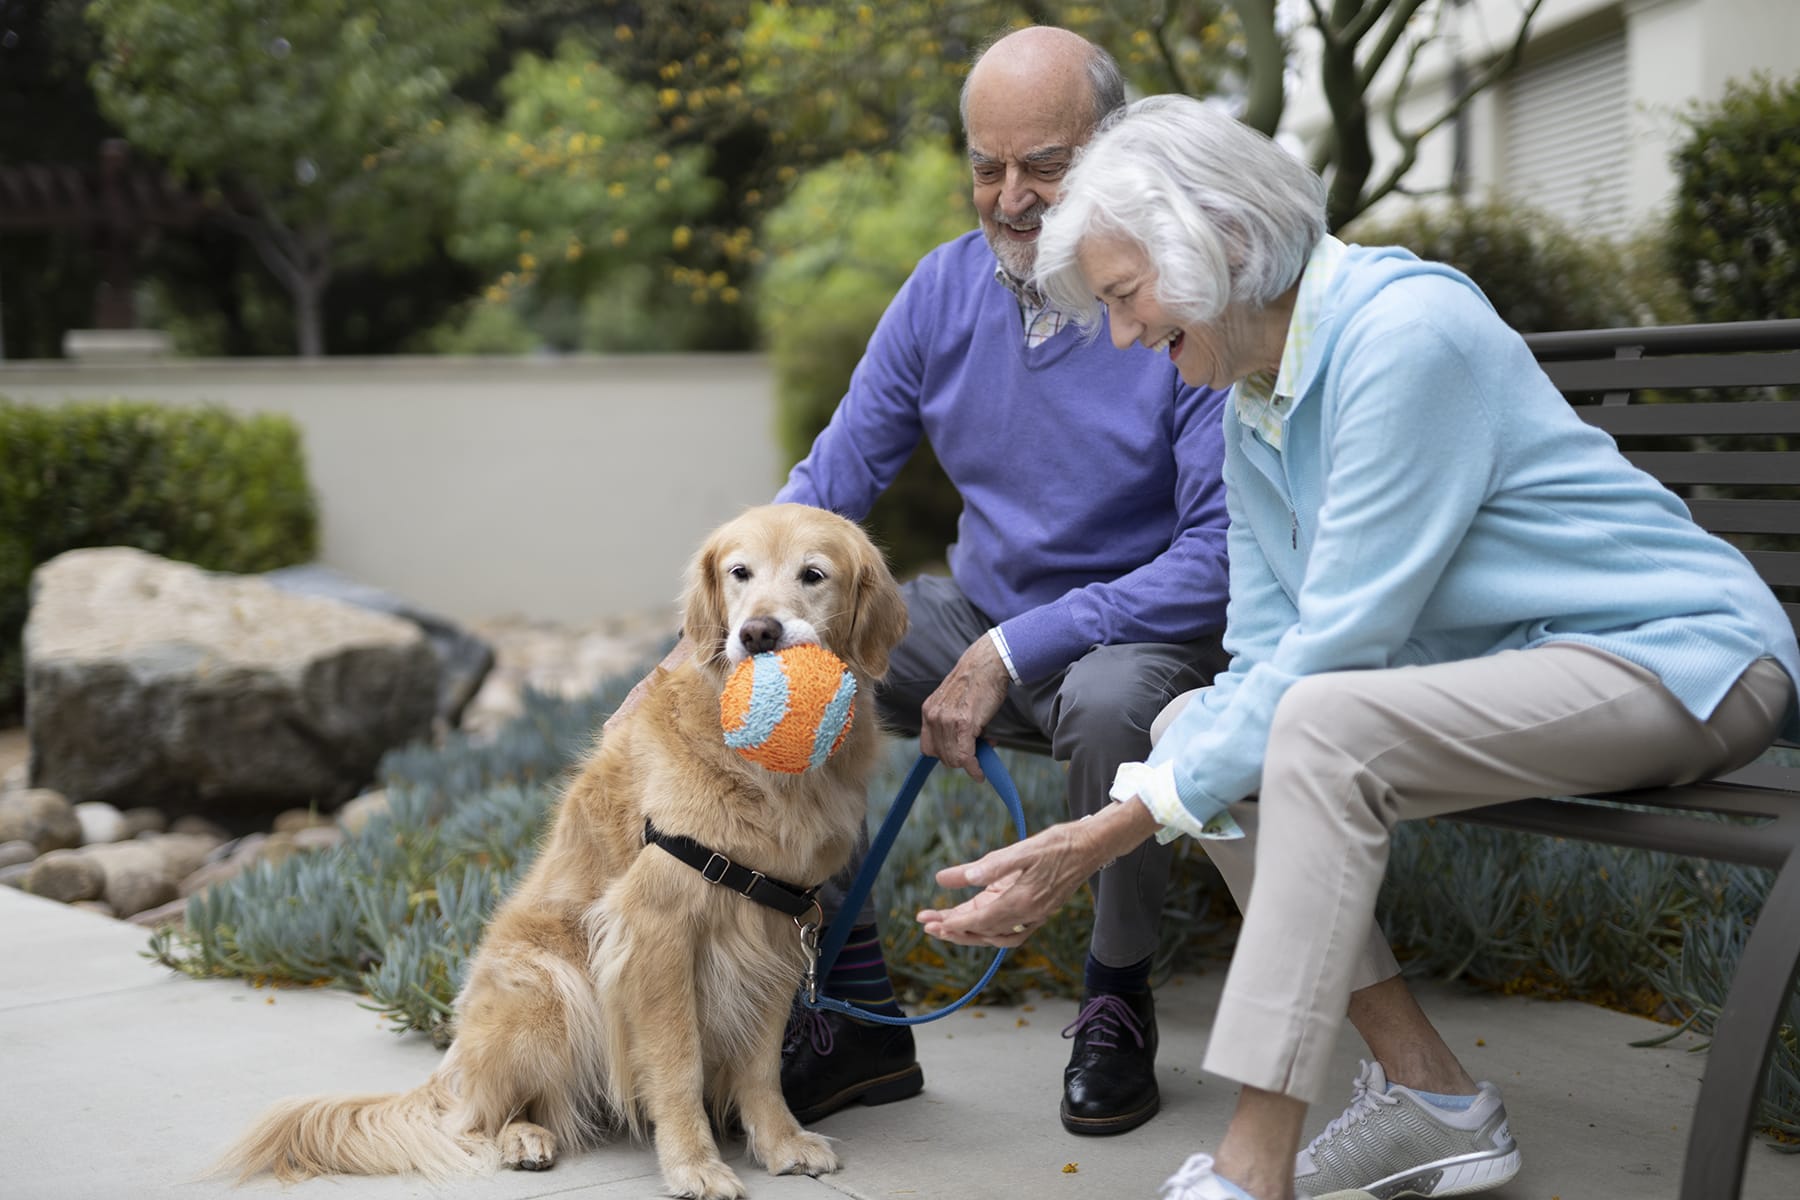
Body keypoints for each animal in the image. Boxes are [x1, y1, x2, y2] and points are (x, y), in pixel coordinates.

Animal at [216, 507, 907, 1200]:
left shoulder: (777, 929)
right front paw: (693, 1164)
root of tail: (453, 1058)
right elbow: (676, 1062)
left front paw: (781, 1142)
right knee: (480, 1116)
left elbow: (760, 1065)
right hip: (552, 989)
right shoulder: (656, 933)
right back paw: (523, 1138)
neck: (764, 778)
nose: (757, 632)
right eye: (740, 572)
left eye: (813, 575)